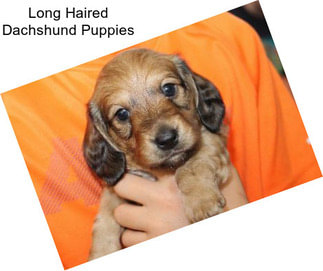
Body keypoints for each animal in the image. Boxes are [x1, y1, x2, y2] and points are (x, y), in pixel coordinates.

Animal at [83, 49, 233, 262]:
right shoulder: (116, 187)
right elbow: (104, 218)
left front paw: (202, 201)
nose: (167, 139)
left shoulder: (211, 141)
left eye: (169, 89)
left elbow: (190, 168)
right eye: (121, 114)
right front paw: (102, 251)